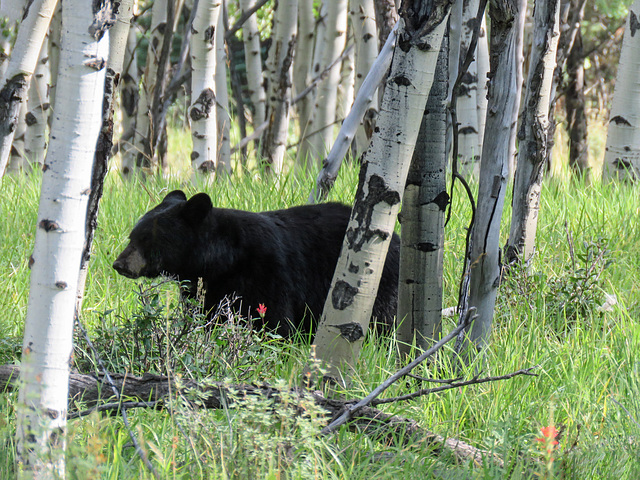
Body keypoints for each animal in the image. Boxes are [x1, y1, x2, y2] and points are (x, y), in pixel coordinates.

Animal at [112, 190, 398, 338]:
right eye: (132, 236)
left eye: (147, 238)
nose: (119, 264)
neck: (222, 260)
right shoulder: (203, 286)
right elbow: (205, 316)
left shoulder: (265, 272)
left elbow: (273, 320)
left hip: (379, 286)